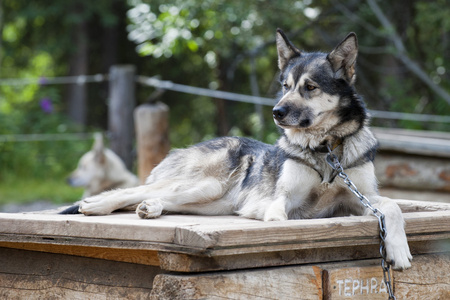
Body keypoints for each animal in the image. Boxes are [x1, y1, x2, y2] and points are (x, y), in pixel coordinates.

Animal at [72, 29, 414, 270]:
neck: (325, 149)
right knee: (129, 192)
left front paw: (399, 251)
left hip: (208, 200)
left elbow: (393, 207)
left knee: (154, 199)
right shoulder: (280, 200)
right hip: (203, 184)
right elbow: (279, 218)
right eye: (285, 85)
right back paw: (96, 205)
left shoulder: (361, 199)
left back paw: (150, 208)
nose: (276, 112)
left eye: (310, 87)